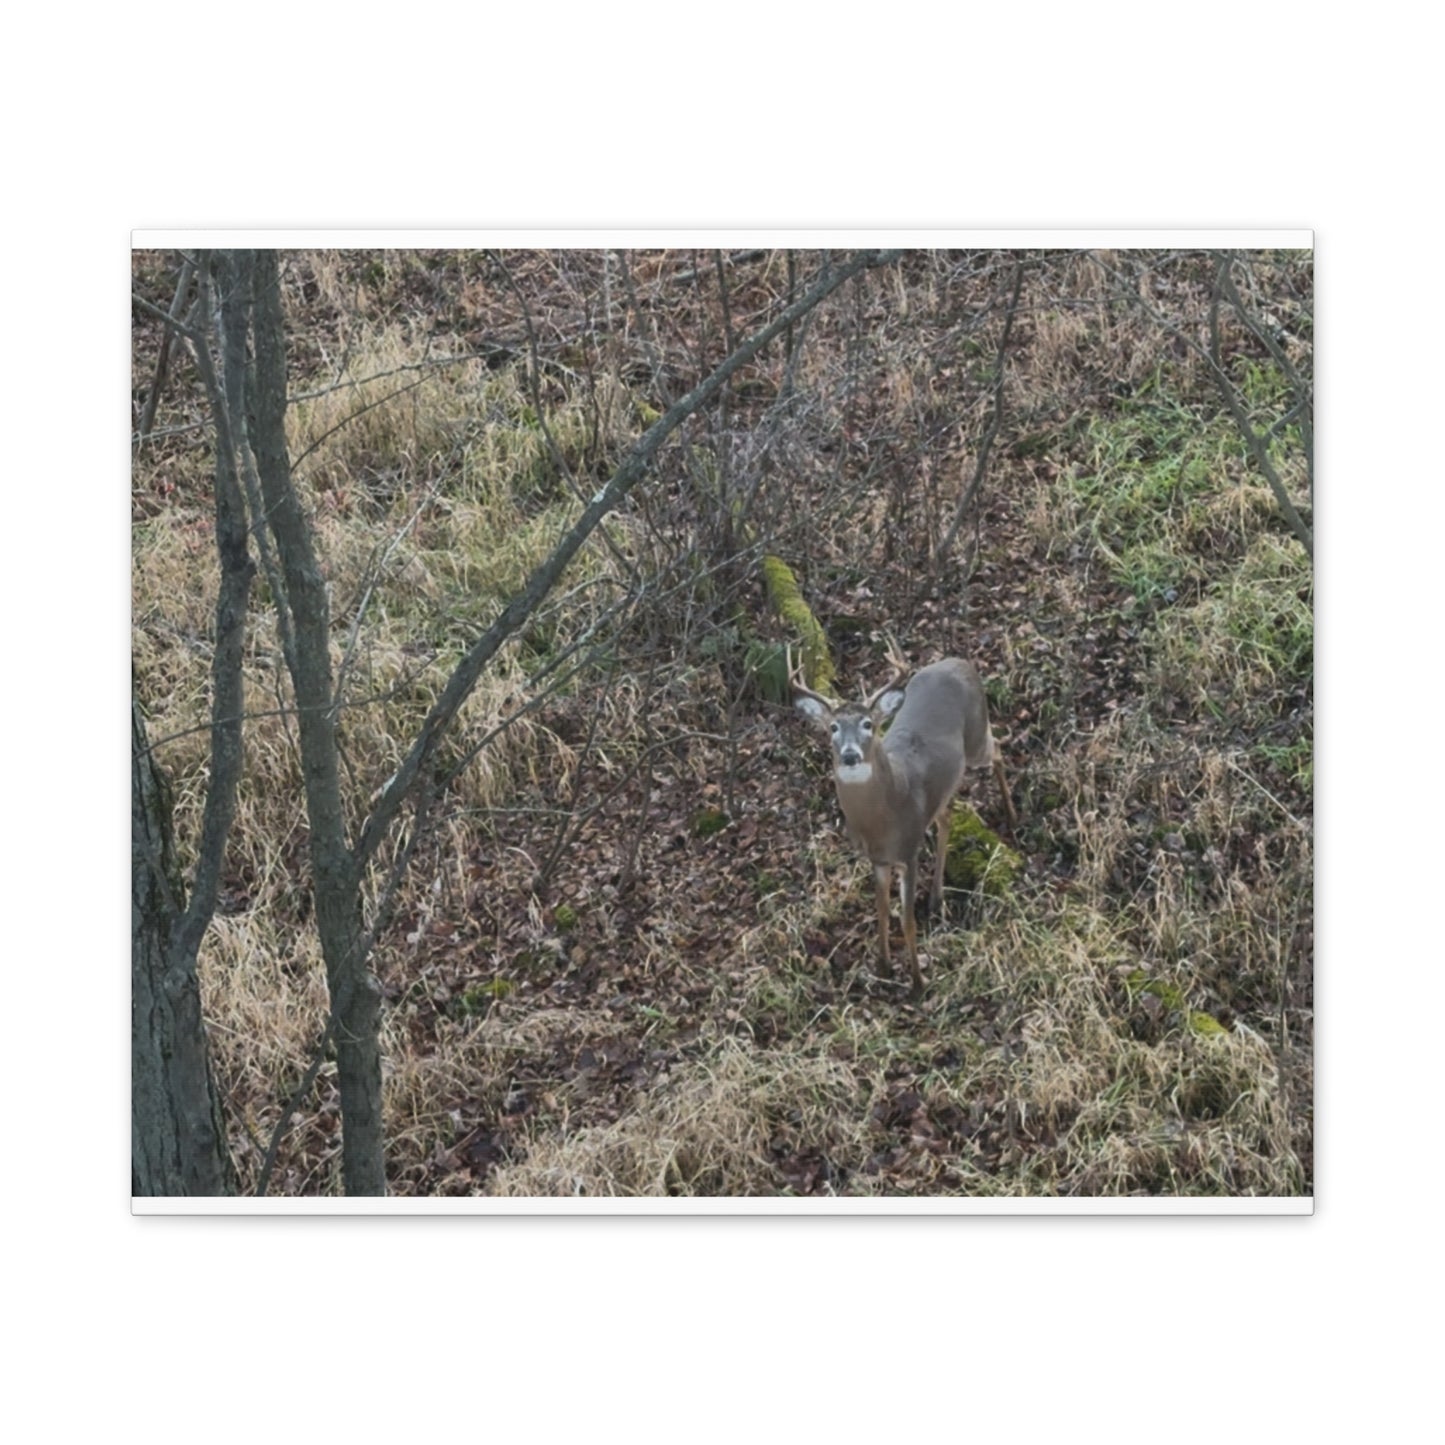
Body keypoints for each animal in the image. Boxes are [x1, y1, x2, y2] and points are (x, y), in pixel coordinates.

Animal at [792, 640, 1016, 999]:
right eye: (833, 728)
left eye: (868, 724)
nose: (850, 755)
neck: (884, 819)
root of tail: (960, 661)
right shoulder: (878, 859)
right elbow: (882, 911)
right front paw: (882, 967)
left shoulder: (908, 852)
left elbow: (906, 919)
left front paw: (918, 983)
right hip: (944, 787)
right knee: (946, 818)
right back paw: (937, 898)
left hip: (977, 736)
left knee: (997, 750)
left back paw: (1012, 814)